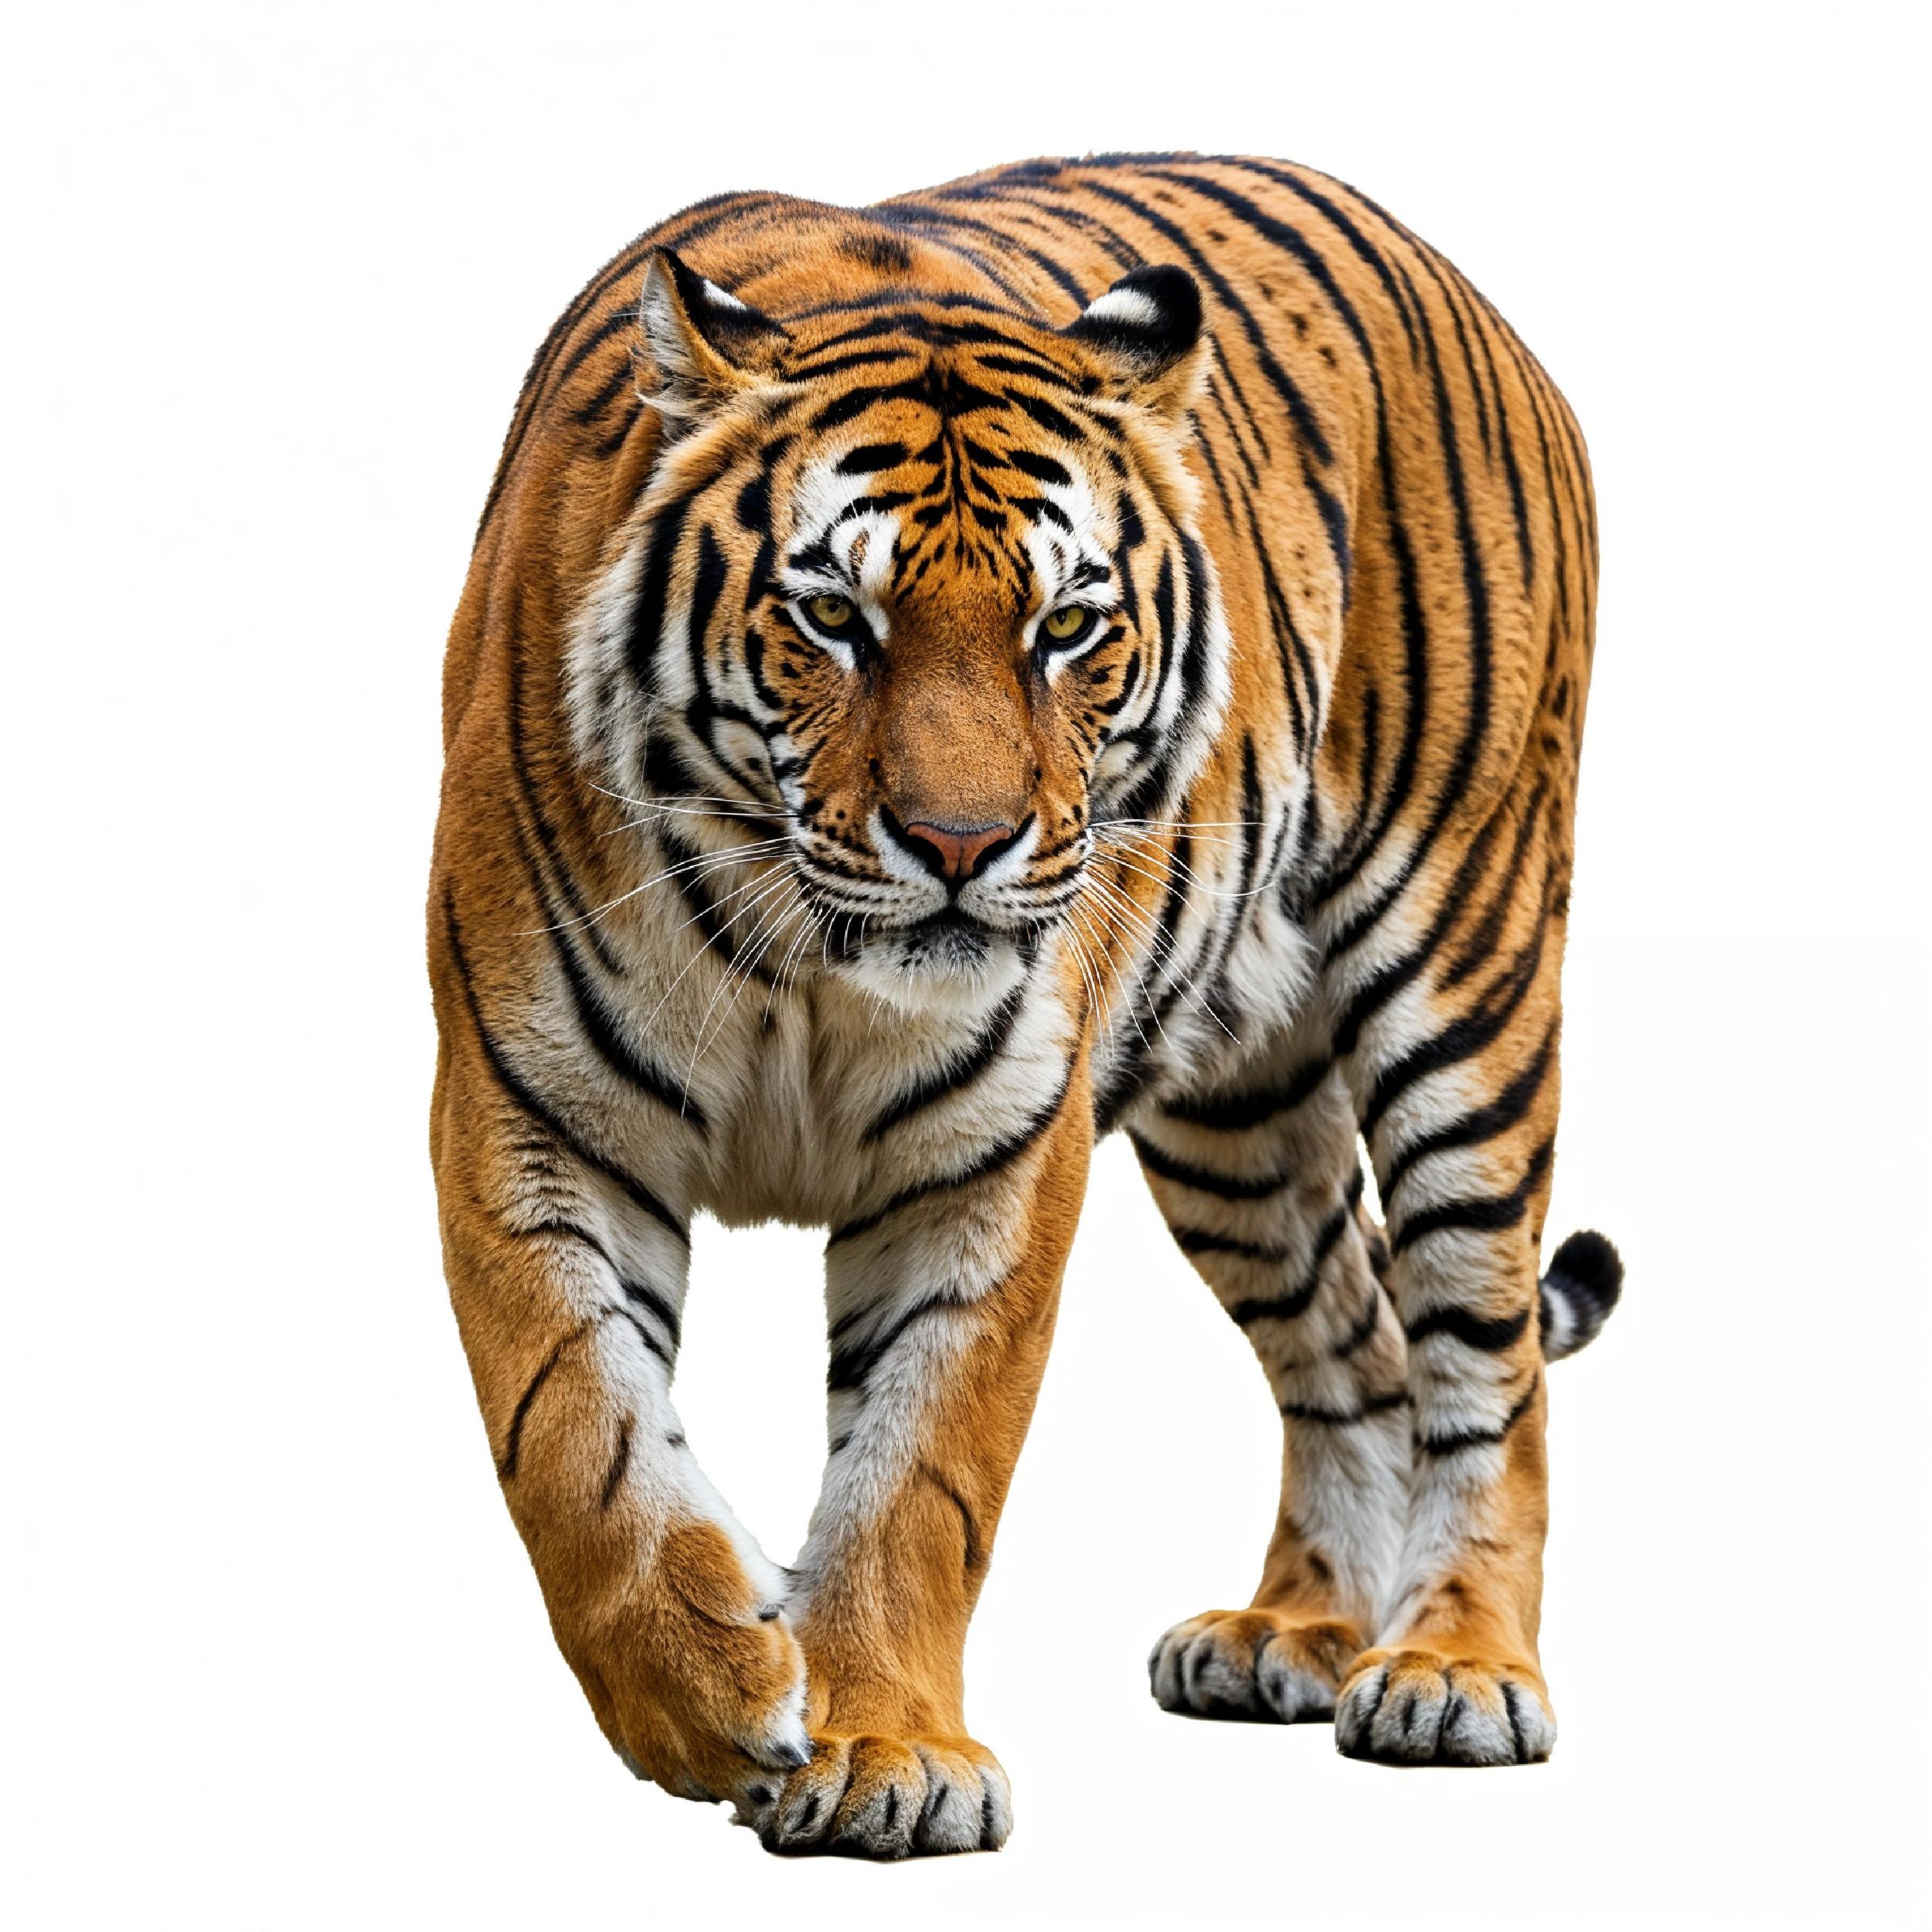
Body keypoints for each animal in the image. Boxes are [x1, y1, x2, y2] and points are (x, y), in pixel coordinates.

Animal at [429, 150, 1623, 1859]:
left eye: (1065, 627)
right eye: (831, 619)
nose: (958, 844)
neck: (799, 964)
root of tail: (1457, 280)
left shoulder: (989, 1153)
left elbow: (920, 1466)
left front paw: (888, 1749)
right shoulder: (524, 1119)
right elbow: (576, 1433)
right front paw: (712, 1692)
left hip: (1468, 967)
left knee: (1481, 1350)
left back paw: (1452, 1667)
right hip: (1239, 1114)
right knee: (1352, 1340)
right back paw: (1294, 1632)